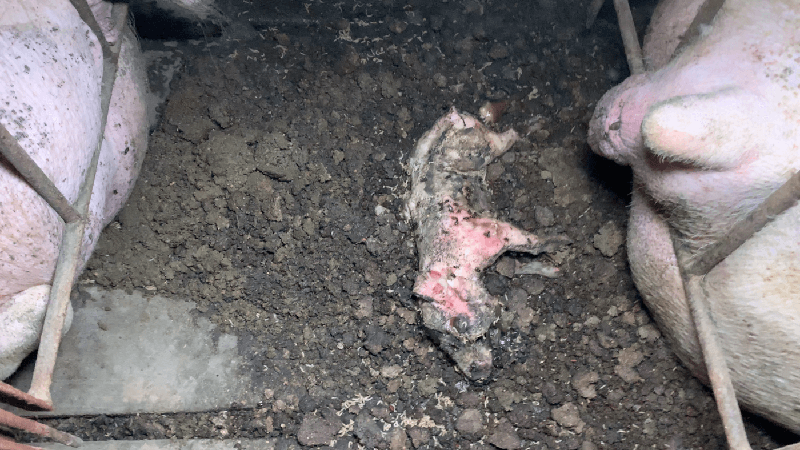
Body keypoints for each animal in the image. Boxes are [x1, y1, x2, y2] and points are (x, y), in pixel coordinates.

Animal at [406, 108, 569, 379]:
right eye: (444, 346)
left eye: (458, 330)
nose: (477, 376)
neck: (456, 263)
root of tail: (453, 117)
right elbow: (519, 266)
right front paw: (555, 270)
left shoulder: (496, 231)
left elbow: (533, 244)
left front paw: (565, 243)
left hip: (481, 148)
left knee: (506, 136)